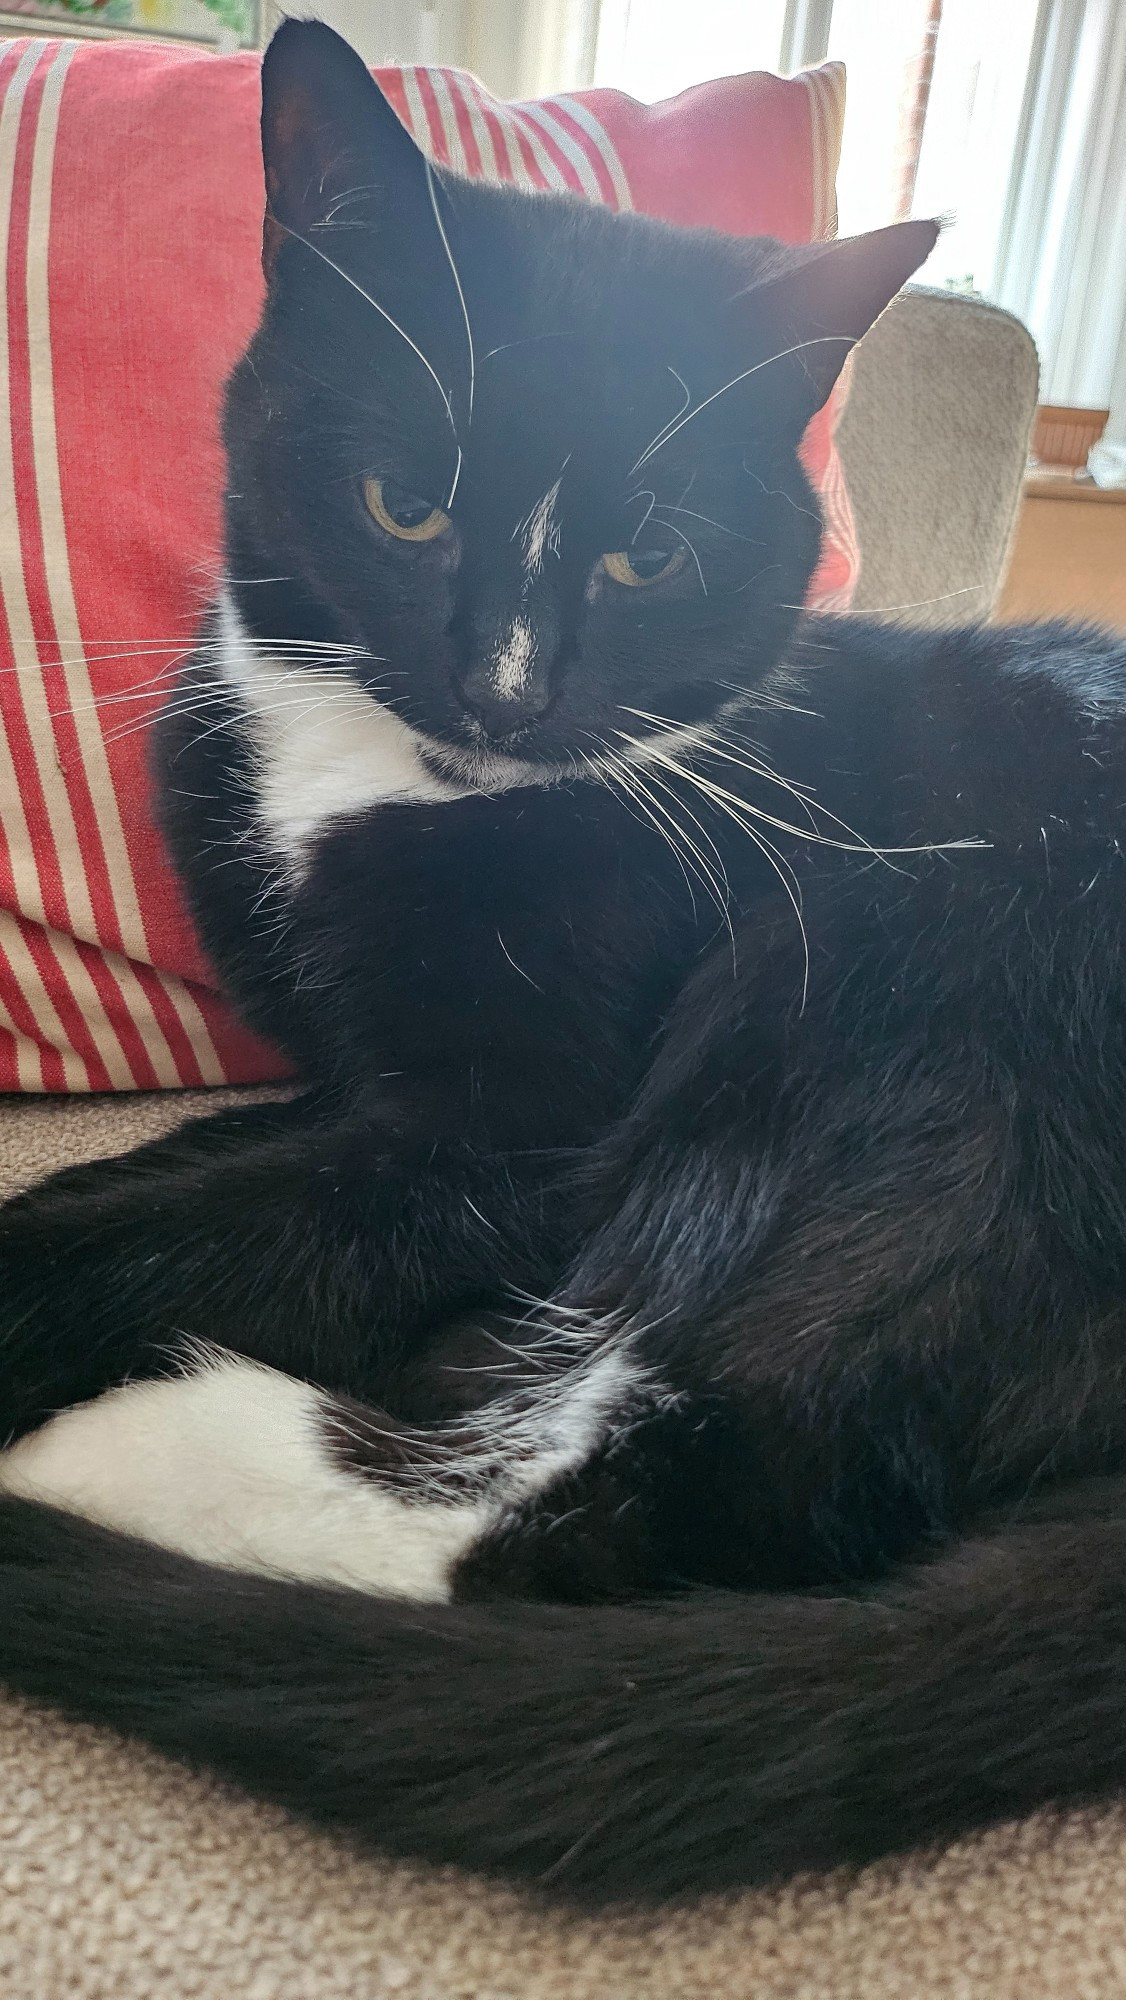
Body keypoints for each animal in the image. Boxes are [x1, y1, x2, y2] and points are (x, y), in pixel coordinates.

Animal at [2, 23, 1126, 1896]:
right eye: (402, 506)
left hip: (909, 996)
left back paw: (114, 1448)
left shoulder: (519, 1131)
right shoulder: (347, 1075)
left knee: (664, 1494)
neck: (382, 779)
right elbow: (201, 1172)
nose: (503, 691)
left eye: (648, 552)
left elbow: (221, 1223)